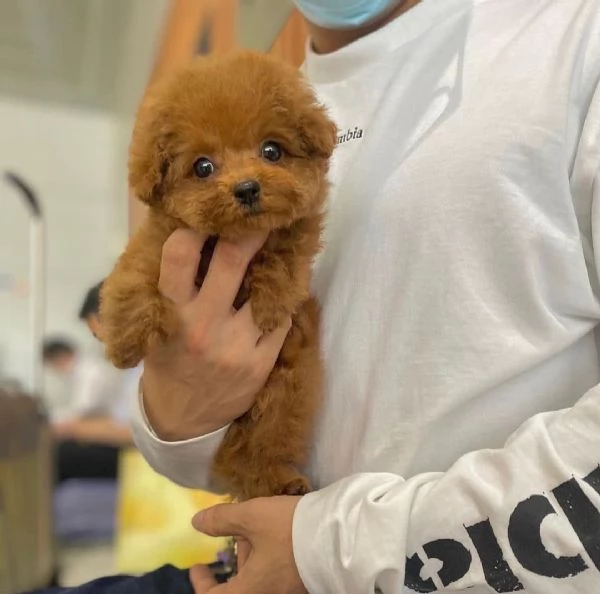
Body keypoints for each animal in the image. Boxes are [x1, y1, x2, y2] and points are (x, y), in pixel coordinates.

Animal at [101, 51, 340, 498]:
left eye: (271, 151)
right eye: (203, 166)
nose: (247, 188)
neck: (226, 239)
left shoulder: (294, 234)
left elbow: (284, 256)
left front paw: (270, 304)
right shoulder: (159, 241)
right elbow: (133, 275)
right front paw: (126, 340)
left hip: (286, 389)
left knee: (262, 446)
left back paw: (277, 481)